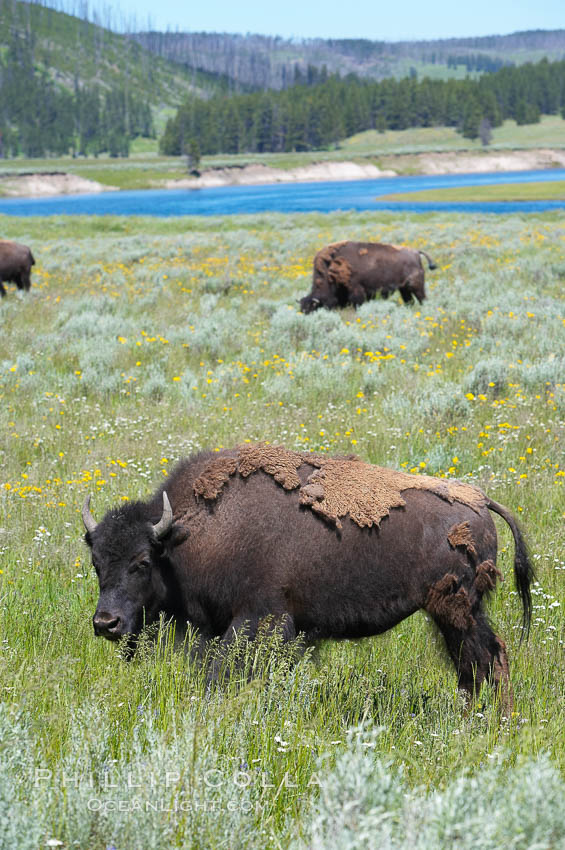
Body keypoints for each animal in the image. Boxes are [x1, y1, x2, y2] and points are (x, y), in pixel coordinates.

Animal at [81, 440, 532, 704]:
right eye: (97, 563)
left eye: (142, 562)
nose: (106, 623)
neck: (188, 533)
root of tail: (482, 501)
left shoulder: (257, 620)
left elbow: (222, 673)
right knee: (479, 663)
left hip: (456, 611)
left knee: (485, 659)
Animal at [298, 240, 438, 314]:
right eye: (302, 309)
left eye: (311, 309)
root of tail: (416, 253)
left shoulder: (356, 291)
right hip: (404, 289)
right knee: (409, 301)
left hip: (416, 286)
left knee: (422, 299)